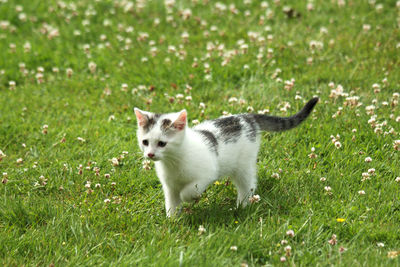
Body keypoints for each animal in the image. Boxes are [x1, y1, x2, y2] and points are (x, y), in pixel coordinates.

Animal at [134, 98, 318, 218]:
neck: (173, 162)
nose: (150, 154)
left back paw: (242, 205)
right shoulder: (169, 186)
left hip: (243, 165)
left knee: (248, 185)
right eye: (145, 142)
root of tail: (246, 117)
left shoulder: (207, 173)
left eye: (162, 144)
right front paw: (172, 220)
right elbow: (172, 202)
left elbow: (189, 190)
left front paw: (189, 198)